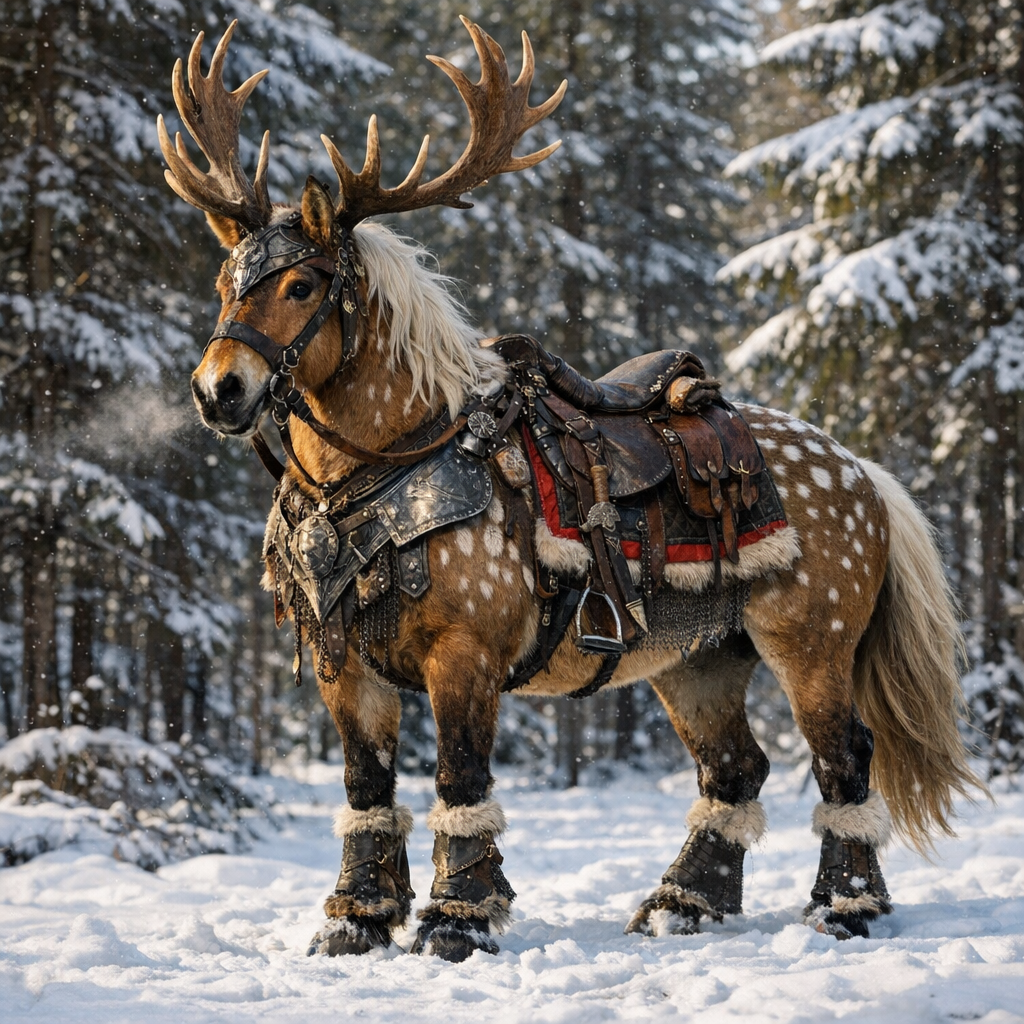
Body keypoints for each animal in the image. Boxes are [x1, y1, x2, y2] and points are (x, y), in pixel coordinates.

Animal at [160, 19, 982, 962]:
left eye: (301, 285)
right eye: (225, 281)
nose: (218, 389)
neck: (373, 473)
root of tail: (865, 473)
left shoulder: (466, 653)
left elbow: (460, 780)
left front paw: (456, 918)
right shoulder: (344, 662)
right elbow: (365, 789)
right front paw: (355, 920)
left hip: (811, 642)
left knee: (845, 758)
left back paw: (847, 906)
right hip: (699, 658)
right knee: (736, 769)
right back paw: (680, 902)